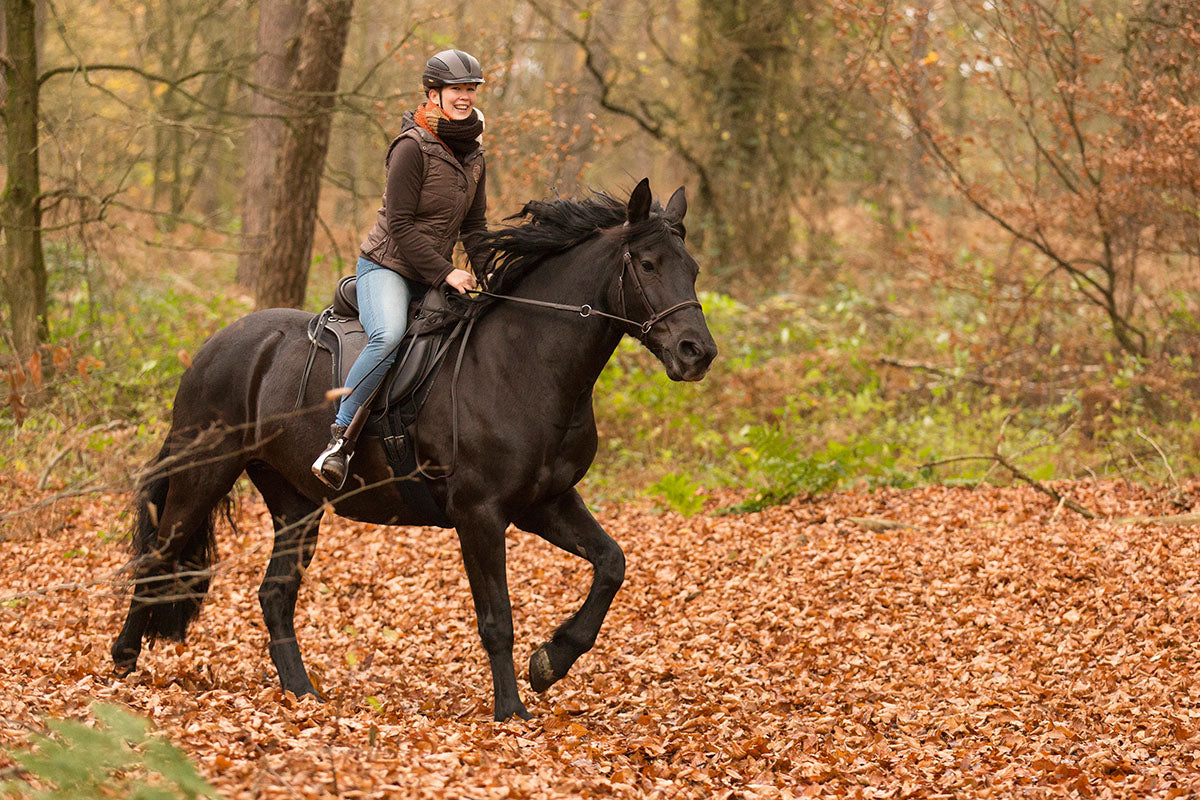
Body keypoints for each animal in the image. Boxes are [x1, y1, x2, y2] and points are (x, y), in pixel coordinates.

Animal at [112, 178, 715, 724]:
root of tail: (216, 346)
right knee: (157, 557)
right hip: (204, 472)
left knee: (274, 594)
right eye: (647, 264)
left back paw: (302, 694)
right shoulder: (480, 514)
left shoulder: (545, 503)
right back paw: (122, 662)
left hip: (296, 502)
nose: (698, 353)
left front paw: (551, 662)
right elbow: (497, 618)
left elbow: (611, 563)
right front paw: (511, 711)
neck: (527, 364)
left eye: (692, 267)